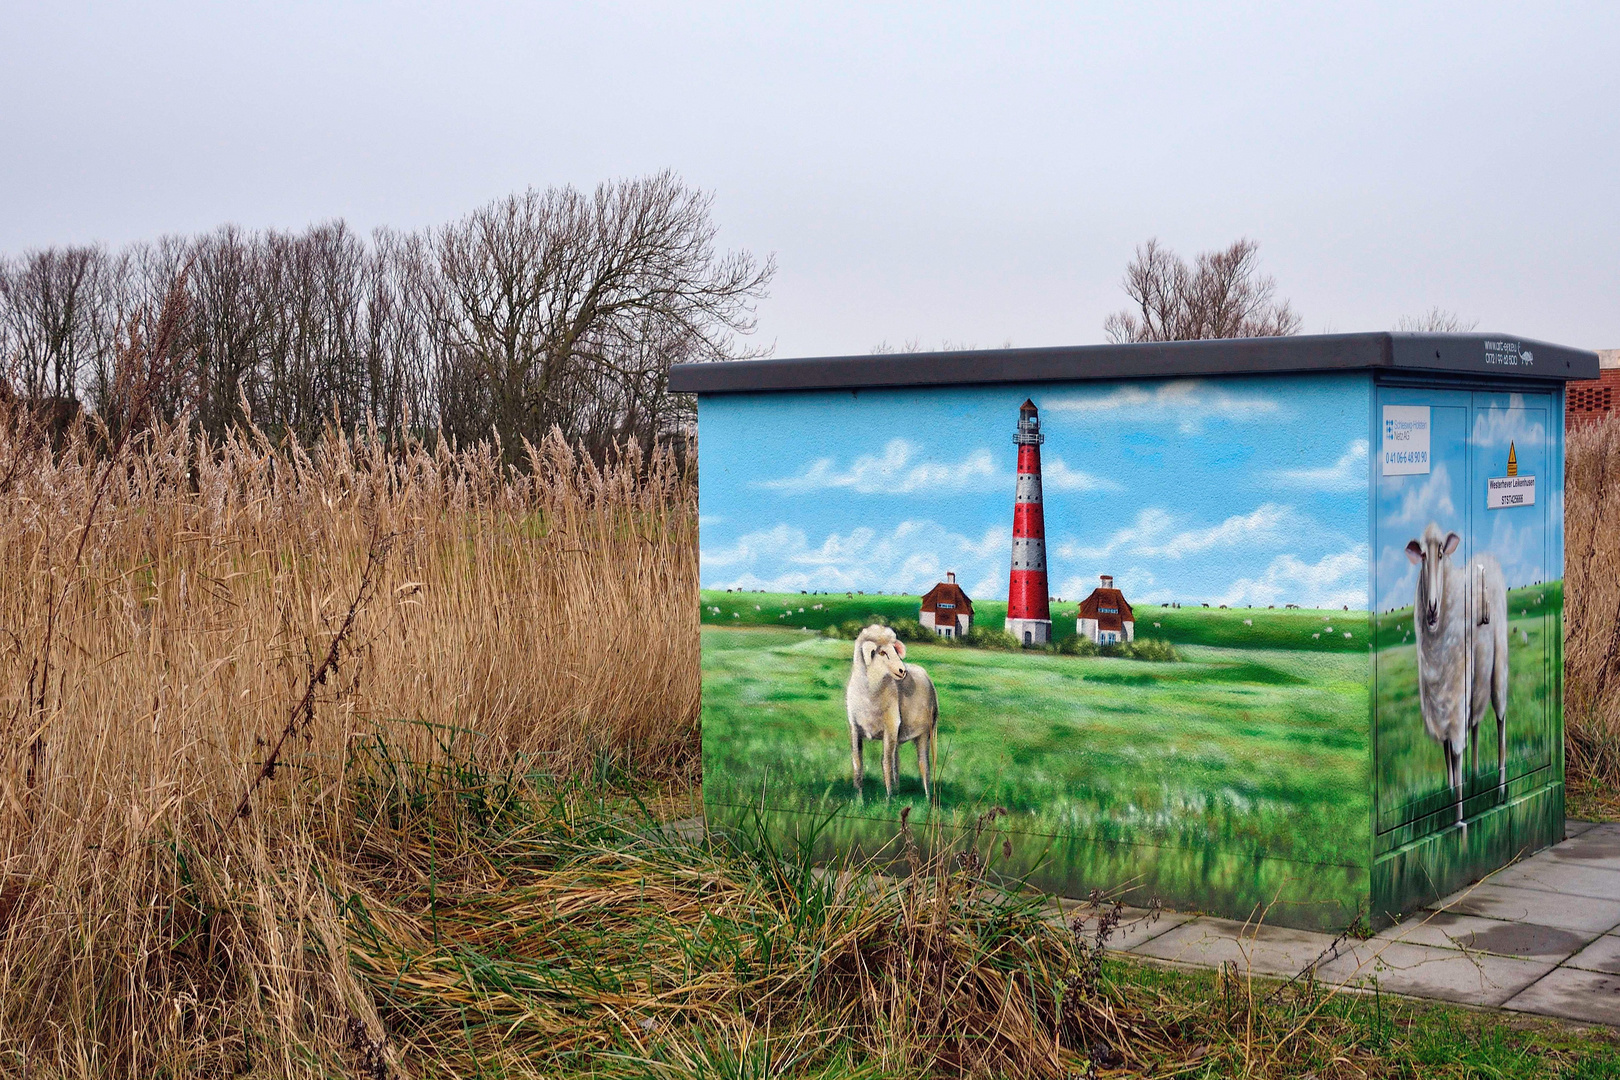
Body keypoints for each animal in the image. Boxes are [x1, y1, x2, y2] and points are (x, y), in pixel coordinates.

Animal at [848, 621, 939, 799]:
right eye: (882, 652)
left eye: (895, 650)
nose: (902, 671)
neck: (869, 693)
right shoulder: (855, 728)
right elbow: (858, 761)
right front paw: (858, 796)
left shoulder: (889, 728)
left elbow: (885, 762)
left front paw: (888, 798)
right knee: (897, 761)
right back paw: (898, 790)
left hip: (924, 732)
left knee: (923, 764)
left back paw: (927, 797)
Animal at [1406, 524, 1516, 829]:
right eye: (1422, 555)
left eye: (1441, 552)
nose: (1432, 607)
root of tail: (1486, 557)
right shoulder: (1437, 701)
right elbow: (1447, 751)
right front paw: (1451, 792)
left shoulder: (1454, 696)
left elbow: (1455, 752)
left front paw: (1459, 820)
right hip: (1475, 680)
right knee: (1476, 723)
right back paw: (1475, 777)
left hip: (1497, 669)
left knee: (1500, 719)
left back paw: (1500, 790)